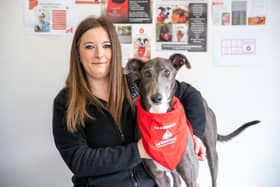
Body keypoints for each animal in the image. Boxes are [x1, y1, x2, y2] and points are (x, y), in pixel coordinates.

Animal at [125, 53, 260, 186]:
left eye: (167, 72)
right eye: (147, 73)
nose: (156, 98)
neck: (160, 117)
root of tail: (205, 103)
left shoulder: (191, 178)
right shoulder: (160, 178)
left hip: (212, 154)